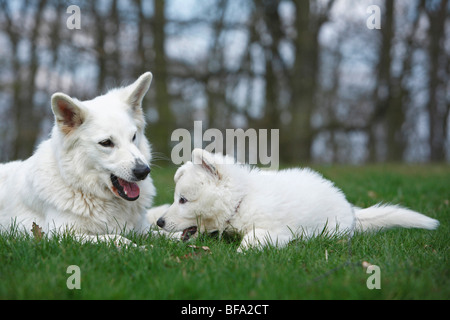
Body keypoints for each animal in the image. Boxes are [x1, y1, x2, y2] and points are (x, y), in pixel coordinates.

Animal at [0, 71, 159, 244]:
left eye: (133, 137)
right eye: (106, 143)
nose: (143, 171)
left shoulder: (143, 229)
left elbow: (166, 233)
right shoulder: (62, 235)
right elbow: (117, 238)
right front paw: (141, 247)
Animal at [157, 149, 440, 251]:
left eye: (183, 200)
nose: (159, 222)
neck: (241, 200)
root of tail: (351, 210)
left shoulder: (277, 231)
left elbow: (252, 238)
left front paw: (241, 252)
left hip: (331, 229)